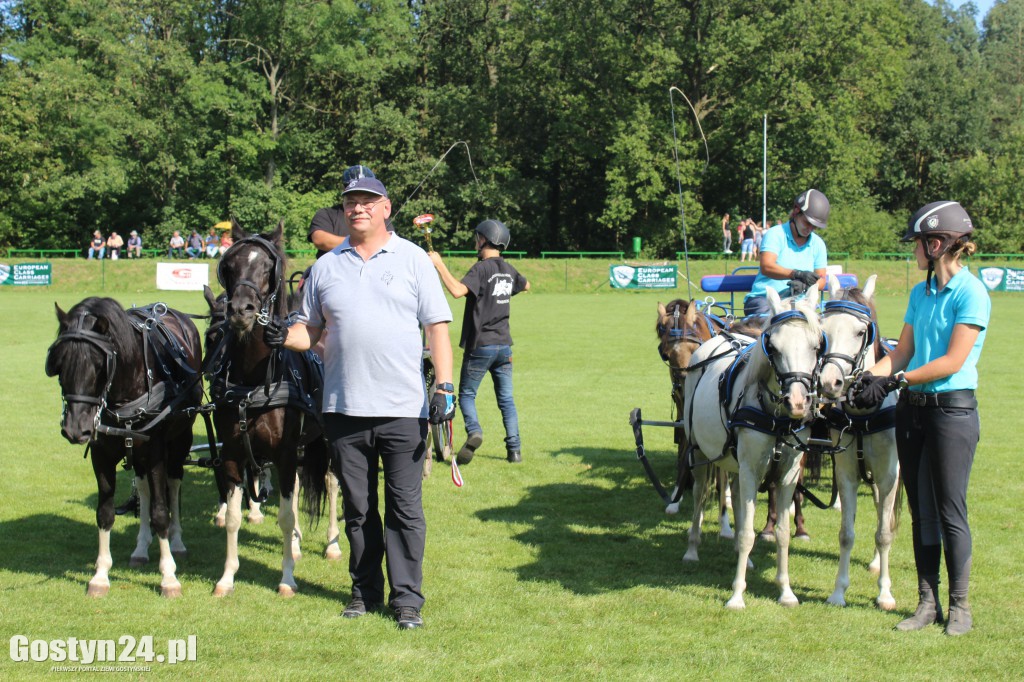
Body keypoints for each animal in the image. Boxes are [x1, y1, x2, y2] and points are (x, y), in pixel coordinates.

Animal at [46, 296, 202, 593]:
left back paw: (177, 542)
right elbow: (105, 512)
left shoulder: (156, 452)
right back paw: (141, 548)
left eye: (99, 365)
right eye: (59, 363)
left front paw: (169, 577)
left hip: (180, 440)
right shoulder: (102, 454)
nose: (75, 429)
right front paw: (100, 575)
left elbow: (161, 511)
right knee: (142, 489)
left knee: (174, 482)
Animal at [201, 219, 325, 593]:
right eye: (229, 265)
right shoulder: (233, 452)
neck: (254, 382)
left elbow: (284, 516)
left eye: (268, 266)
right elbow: (233, 517)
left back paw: (331, 543)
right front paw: (227, 577)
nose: (241, 310)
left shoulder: (284, 453)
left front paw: (287, 578)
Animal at [679, 284, 823, 606]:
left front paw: (785, 591)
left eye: (815, 346)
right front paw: (737, 595)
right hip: (699, 452)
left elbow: (781, 532)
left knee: (734, 495)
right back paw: (692, 549)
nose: (797, 403)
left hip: (736, 462)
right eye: (774, 348)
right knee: (699, 495)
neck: (777, 418)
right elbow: (746, 533)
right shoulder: (750, 469)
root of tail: (722, 337)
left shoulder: (787, 474)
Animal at [815, 274, 905, 606]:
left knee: (885, 517)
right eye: (824, 330)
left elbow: (884, 533)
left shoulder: (889, 473)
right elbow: (846, 534)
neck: (863, 412)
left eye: (860, 332)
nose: (829, 382)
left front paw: (885, 593)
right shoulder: (847, 472)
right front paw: (839, 591)